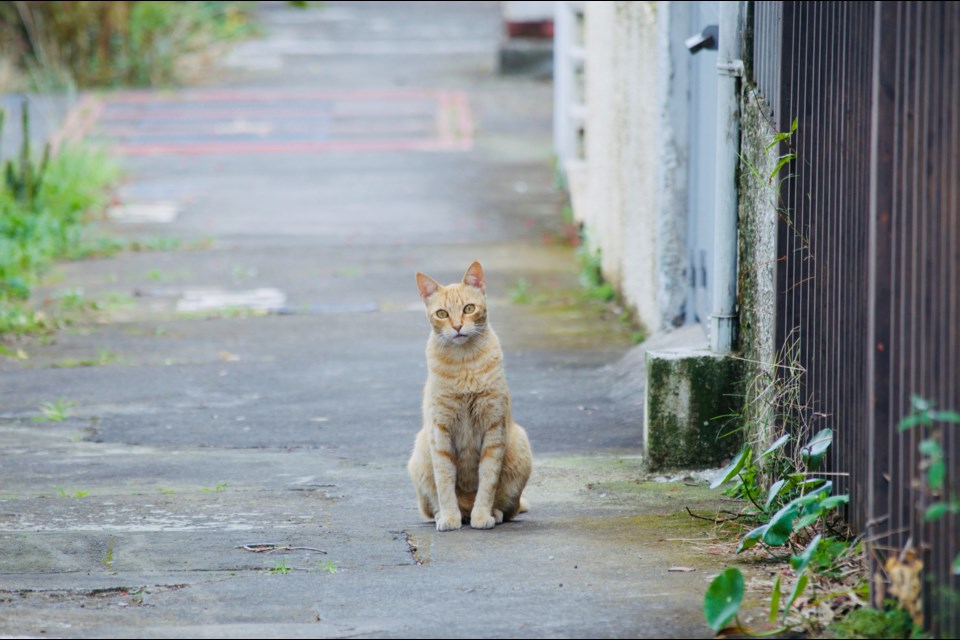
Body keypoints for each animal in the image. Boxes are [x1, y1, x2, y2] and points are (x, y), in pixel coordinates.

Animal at [406, 260, 532, 528]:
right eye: (442, 314)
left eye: (469, 308)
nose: (457, 327)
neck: (464, 364)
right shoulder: (440, 433)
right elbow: (444, 481)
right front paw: (449, 518)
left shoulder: (493, 429)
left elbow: (488, 480)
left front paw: (482, 515)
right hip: (420, 453)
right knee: (431, 508)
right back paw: (447, 515)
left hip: (520, 447)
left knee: (510, 509)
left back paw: (491, 513)